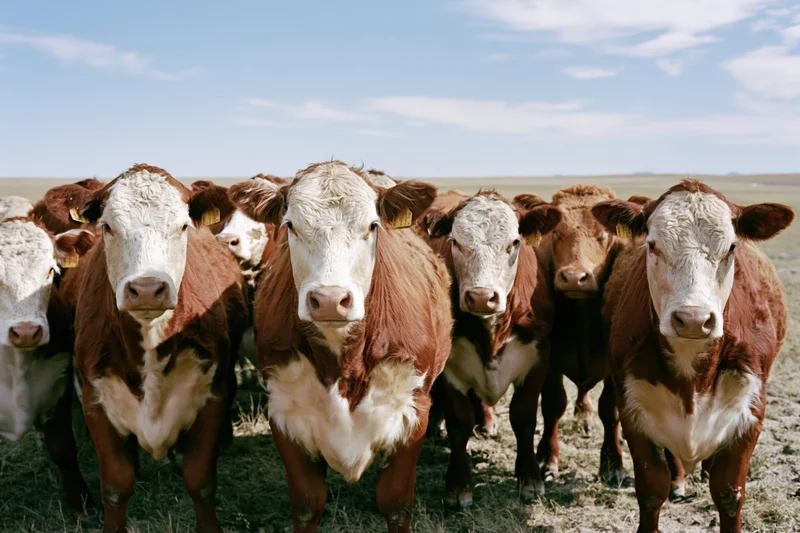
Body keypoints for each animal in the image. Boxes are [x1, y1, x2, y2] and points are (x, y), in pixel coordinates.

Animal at [43, 164, 248, 533]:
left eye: (182, 226)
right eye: (107, 227)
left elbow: (201, 481)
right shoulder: (94, 398)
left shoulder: (212, 394)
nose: (148, 289)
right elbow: (115, 485)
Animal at [229, 161, 452, 533]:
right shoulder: (284, 412)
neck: (342, 362)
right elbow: (308, 503)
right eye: (290, 225)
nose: (330, 300)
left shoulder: (413, 410)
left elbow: (395, 503)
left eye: (373, 225)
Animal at [421, 190, 561, 508]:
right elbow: (459, 422)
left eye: (514, 243)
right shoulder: (450, 367)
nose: (482, 297)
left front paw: (529, 479)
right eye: (455, 242)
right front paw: (458, 486)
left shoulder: (539, 357)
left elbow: (523, 417)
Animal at [593, 179, 793, 533]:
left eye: (731, 247)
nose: (693, 319)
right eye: (652, 245)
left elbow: (729, 491)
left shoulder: (752, 410)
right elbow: (650, 490)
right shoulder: (633, 409)